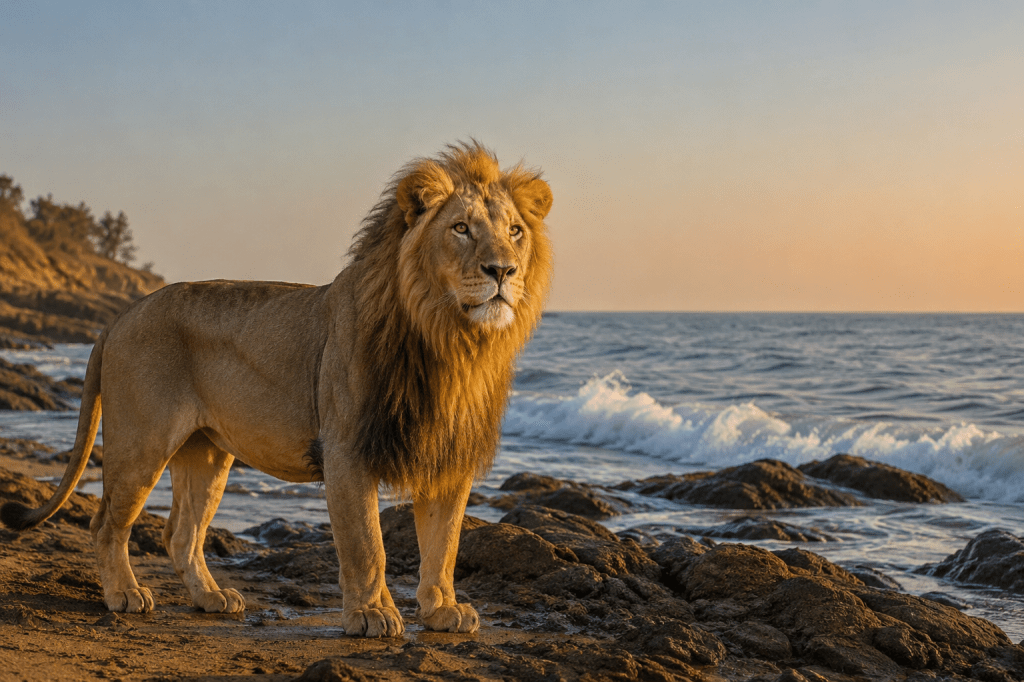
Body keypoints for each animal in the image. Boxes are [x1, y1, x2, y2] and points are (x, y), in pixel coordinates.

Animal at [0, 142, 553, 637]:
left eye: (515, 231)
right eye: (461, 228)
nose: (503, 270)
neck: (452, 342)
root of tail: (121, 315)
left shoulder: (448, 455)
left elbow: (444, 546)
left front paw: (442, 611)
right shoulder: (346, 451)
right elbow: (367, 545)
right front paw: (372, 615)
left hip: (206, 453)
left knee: (181, 534)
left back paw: (211, 598)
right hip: (141, 442)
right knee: (107, 524)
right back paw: (124, 594)